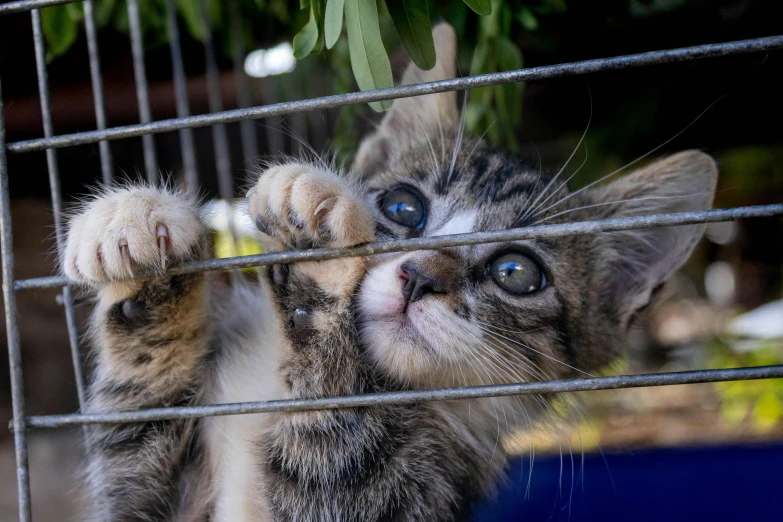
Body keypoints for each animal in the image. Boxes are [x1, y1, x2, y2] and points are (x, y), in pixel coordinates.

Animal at [64, 23, 720, 520]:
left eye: (517, 272)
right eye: (404, 208)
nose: (420, 278)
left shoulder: (414, 492)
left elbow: (334, 469)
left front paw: (318, 272)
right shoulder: (153, 499)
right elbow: (137, 454)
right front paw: (136, 239)